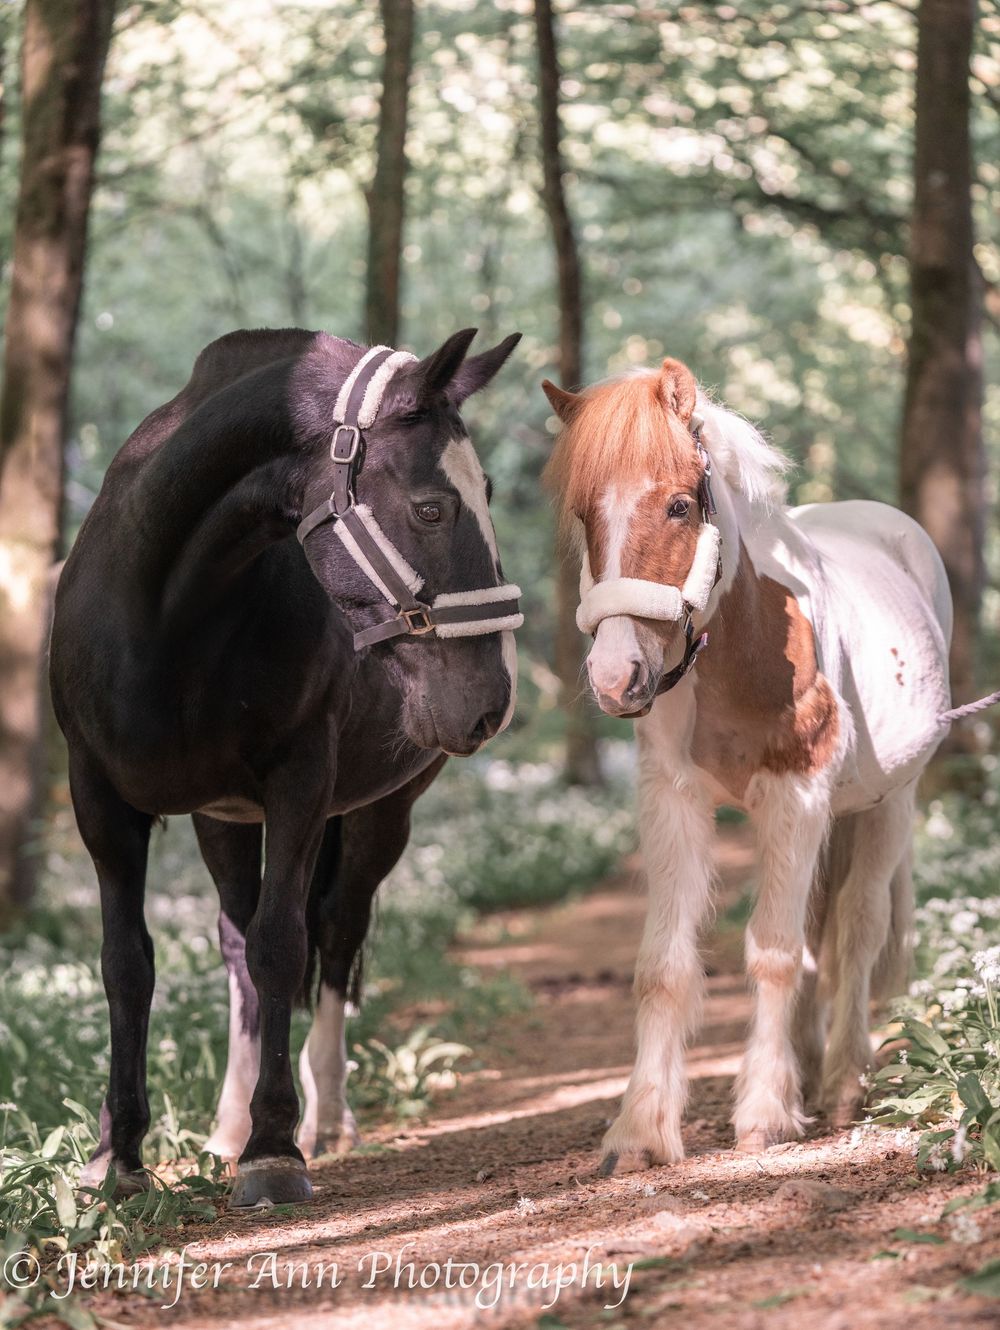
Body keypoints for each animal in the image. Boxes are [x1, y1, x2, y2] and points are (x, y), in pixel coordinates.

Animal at [50, 325, 524, 1207]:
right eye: (432, 506)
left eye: (488, 492)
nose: (493, 700)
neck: (165, 612)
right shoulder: (99, 800)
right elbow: (128, 964)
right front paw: (118, 1156)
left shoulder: (301, 784)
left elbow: (284, 945)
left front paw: (273, 1149)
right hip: (223, 822)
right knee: (237, 944)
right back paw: (226, 1125)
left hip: (381, 816)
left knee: (334, 934)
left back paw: (325, 1115)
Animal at [543, 356, 957, 1173]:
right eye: (583, 515)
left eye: (679, 506)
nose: (614, 676)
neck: (745, 640)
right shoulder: (674, 801)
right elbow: (665, 965)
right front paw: (640, 1128)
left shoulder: (794, 798)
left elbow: (773, 952)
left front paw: (765, 1112)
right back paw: (807, 1064)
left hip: (889, 803)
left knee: (856, 928)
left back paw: (843, 1080)